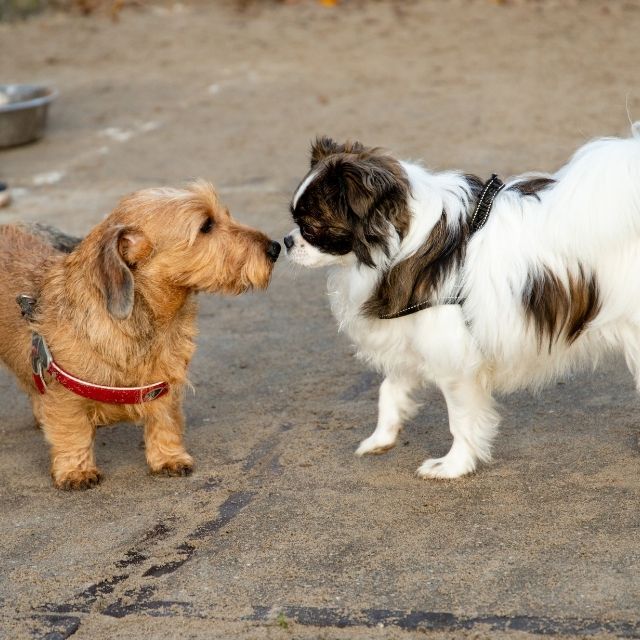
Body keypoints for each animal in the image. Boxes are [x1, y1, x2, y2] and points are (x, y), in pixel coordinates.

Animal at [0, 180, 280, 490]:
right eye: (206, 225)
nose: (275, 247)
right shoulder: (64, 395)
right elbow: (73, 433)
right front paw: (76, 470)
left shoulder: (164, 381)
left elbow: (165, 421)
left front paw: (169, 457)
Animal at [286, 129, 640, 480]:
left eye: (312, 225)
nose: (287, 241)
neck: (405, 245)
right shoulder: (416, 341)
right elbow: (389, 391)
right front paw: (381, 438)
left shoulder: (456, 362)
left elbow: (461, 421)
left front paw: (453, 466)